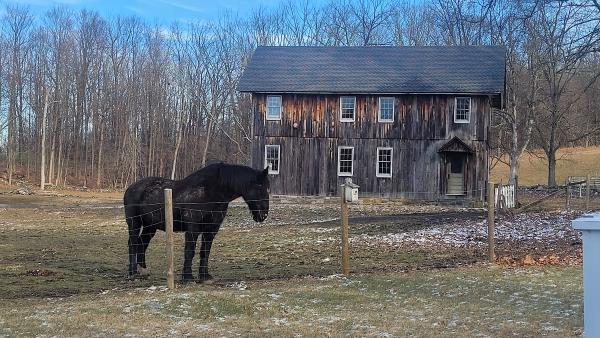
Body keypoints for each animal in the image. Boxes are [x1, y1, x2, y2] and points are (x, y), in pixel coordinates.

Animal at [124, 162, 270, 282]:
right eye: (260, 187)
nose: (263, 214)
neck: (210, 192)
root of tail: (131, 188)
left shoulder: (211, 230)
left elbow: (205, 251)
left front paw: (205, 276)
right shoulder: (193, 229)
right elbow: (190, 251)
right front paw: (187, 277)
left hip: (150, 227)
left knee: (142, 243)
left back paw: (143, 271)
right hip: (134, 223)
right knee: (133, 243)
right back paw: (132, 273)